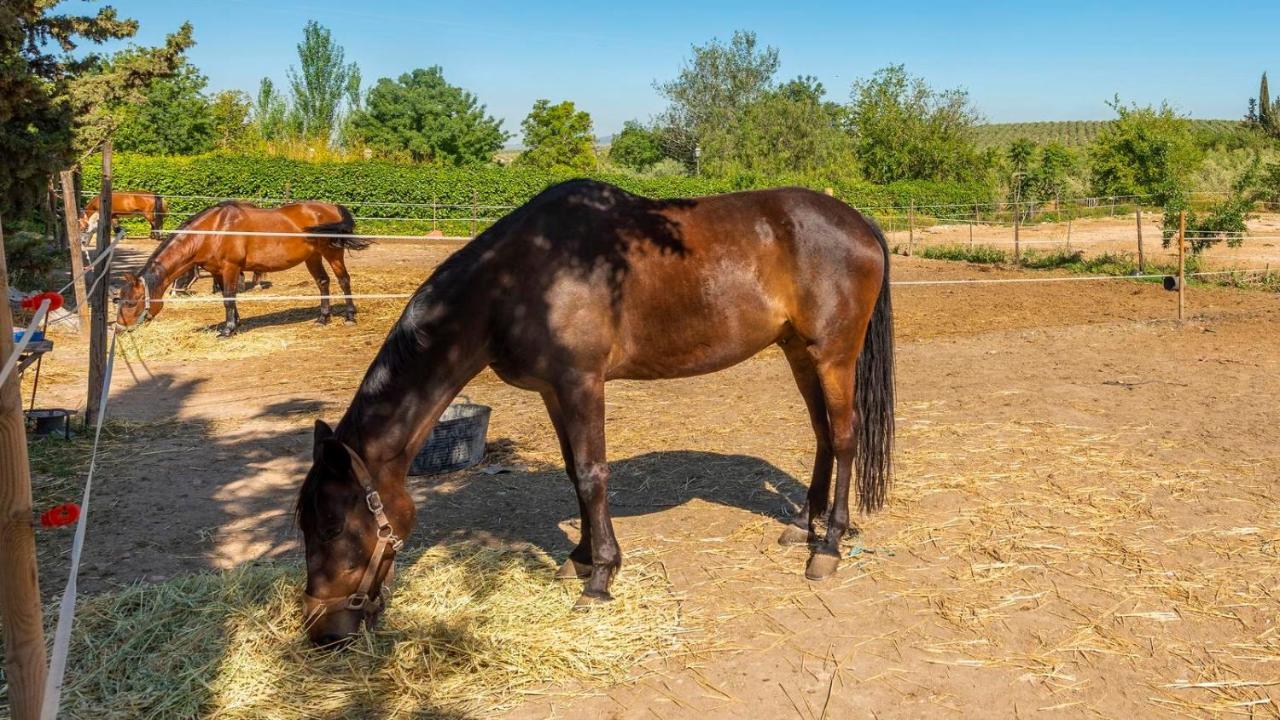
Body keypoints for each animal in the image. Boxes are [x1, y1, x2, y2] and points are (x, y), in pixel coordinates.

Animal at [113, 198, 371, 335]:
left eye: (131, 302)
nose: (119, 328)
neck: (213, 230)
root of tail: (332, 207)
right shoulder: (218, 271)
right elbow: (227, 298)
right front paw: (235, 324)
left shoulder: (231, 268)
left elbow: (229, 297)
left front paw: (227, 330)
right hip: (313, 257)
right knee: (323, 282)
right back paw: (322, 318)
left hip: (332, 252)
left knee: (343, 280)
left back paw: (349, 316)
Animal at [293, 178, 896, 645]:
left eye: (332, 525)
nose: (322, 631)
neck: (517, 280)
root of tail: (858, 222)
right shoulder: (553, 391)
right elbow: (573, 475)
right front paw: (580, 558)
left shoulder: (582, 383)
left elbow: (591, 474)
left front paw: (601, 578)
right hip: (798, 351)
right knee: (822, 434)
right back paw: (801, 526)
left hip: (833, 354)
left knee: (845, 438)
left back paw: (828, 546)